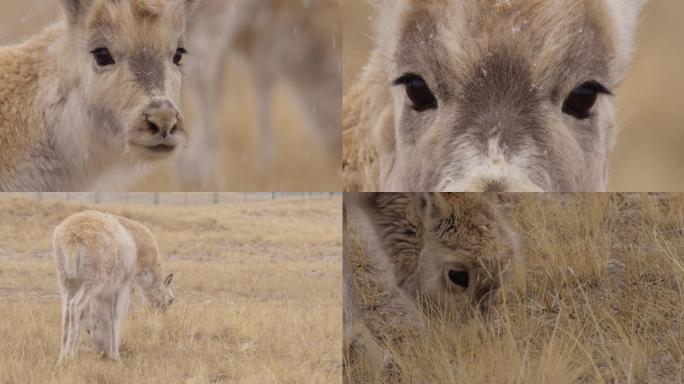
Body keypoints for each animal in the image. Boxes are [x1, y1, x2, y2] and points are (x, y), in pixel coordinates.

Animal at [53, 210, 174, 364]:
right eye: (171, 301)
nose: (162, 317)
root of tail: (72, 235)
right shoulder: (122, 288)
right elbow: (116, 317)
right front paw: (116, 356)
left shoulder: (104, 295)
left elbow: (95, 316)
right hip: (93, 280)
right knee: (76, 305)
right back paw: (68, 357)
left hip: (67, 282)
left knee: (67, 311)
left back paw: (62, 357)